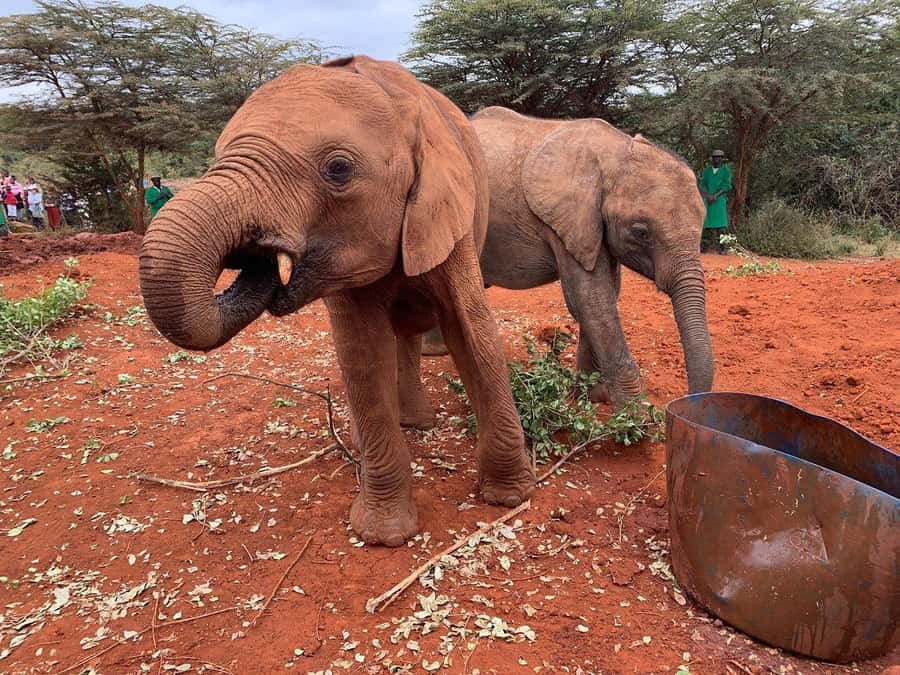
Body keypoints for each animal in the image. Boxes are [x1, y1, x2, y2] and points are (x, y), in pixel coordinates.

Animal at [139, 58, 535, 547]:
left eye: (339, 169)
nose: (259, 255)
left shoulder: (448, 218)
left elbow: (472, 331)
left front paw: (510, 498)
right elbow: (362, 353)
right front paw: (384, 536)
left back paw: (417, 425)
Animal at [421, 106, 714, 410]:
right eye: (641, 232)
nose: (687, 404)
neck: (613, 152)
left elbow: (602, 296)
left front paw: (592, 395)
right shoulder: (564, 221)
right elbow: (591, 299)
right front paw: (632, 415)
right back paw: (433, 351)